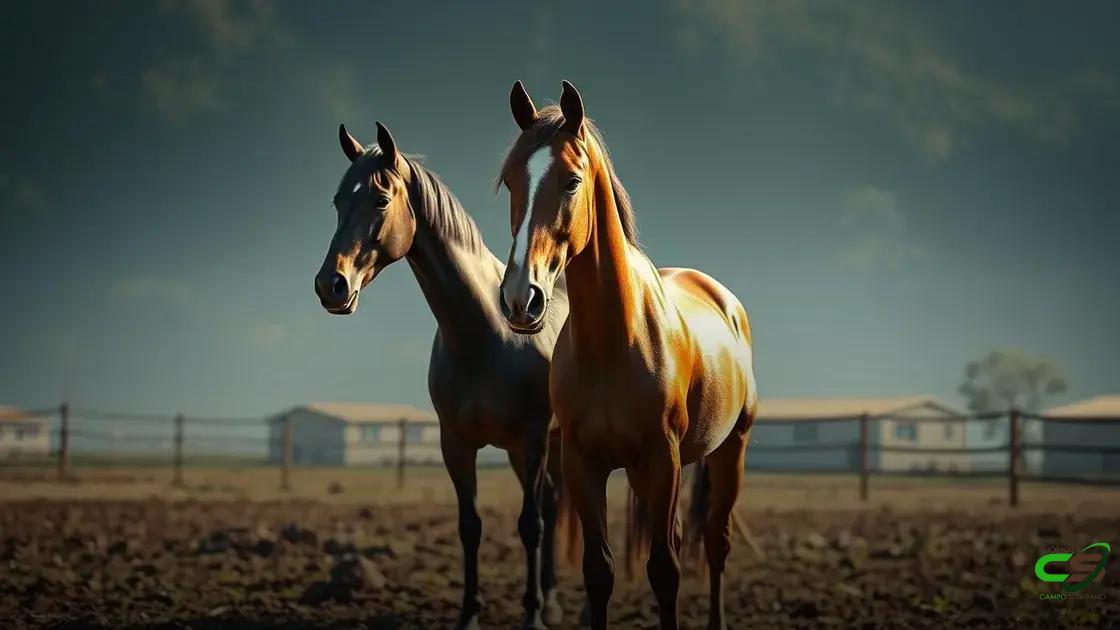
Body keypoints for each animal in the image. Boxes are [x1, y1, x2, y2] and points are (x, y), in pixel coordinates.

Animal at [314, 121, 573, 629]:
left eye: (380, 199)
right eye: (336, 201)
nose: (330, 285)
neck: (485, 334)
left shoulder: (531, 439)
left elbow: (529, 525)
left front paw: (531, 615)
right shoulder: (455, 443)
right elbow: (469, 527)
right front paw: (469, 615)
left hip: (547, 444)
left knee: (550, 509)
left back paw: (550, 603)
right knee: (552, 503)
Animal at [496, 81, 758, 630]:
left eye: (572, 182)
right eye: (510, 182)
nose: (519, 299)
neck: (615, 341)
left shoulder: (663, 458)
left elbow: (665, 570)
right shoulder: (582, 462)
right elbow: (599, 570)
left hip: (730, 450)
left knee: (716, 543)